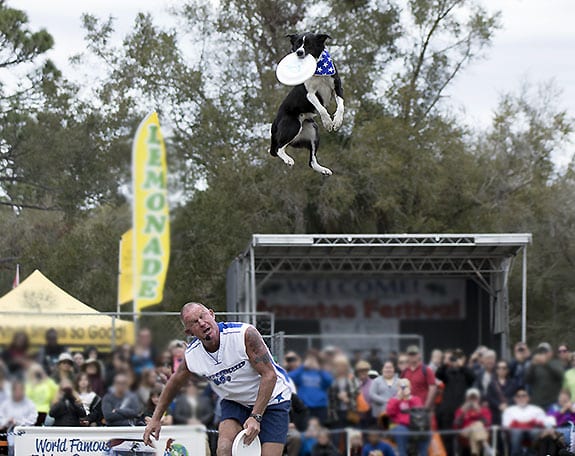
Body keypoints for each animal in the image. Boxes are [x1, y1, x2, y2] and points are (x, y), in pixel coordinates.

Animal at [268, 32, 344, 175]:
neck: (317, 71)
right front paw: (327, 122)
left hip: (313, 131)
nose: (299, 52)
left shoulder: (337, 88)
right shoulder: (311, 94)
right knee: (278, 149)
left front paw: (336, 122)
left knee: (311, 161)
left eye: (309, 44)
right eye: (297, 43)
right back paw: (288, 160)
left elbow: (341, 106)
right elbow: (322, 109)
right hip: (292, 125)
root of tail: (275, 123)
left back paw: (323, 170)